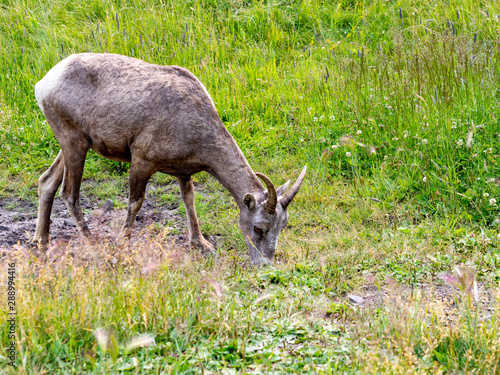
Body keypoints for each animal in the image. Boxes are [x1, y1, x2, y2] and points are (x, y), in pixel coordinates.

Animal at [33, 53, 306, 268]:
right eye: (258, 228)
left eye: (282, 227)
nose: (265, 264)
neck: (194, 121)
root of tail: (43, 84)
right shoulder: (141, 162)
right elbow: (135, 203)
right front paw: (122, 247)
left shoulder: (183, 172)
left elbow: (189, 199)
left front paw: (202, 245)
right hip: (74, 143)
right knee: (69, 194)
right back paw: (93, 244)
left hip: (72, 145)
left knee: (47, 182)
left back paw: (41, 244)